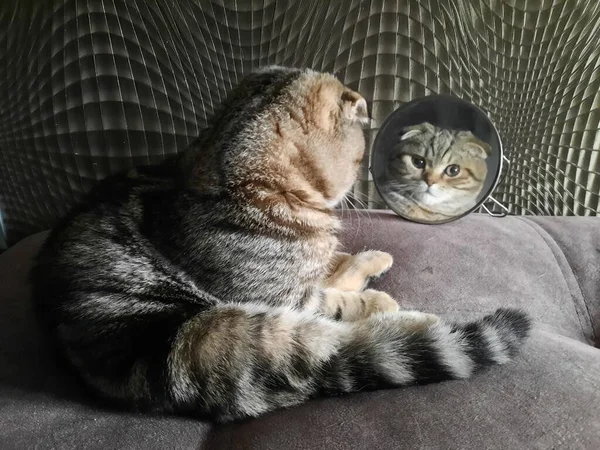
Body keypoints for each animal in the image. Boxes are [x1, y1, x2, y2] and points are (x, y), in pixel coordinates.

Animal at [31, 66, 528, 422]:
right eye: (359, 158)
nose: (360, 182)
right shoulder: (288, 297)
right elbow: (338, 296)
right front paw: (373, 292)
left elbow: (337, 262)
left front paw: (367, 257)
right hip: (223, 332)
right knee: (347, 340)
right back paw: (408, 318)